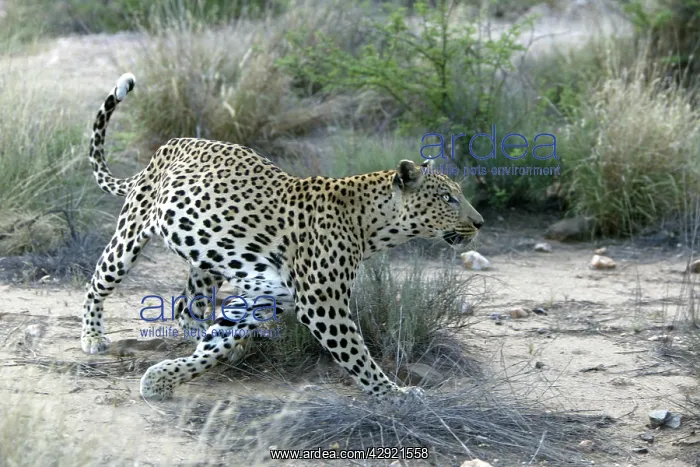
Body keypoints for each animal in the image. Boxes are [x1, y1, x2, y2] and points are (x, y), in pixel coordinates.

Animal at [81, 73, 484, 402]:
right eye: (448, 198)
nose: (479, 222)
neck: (370, 226)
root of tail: (168, 146)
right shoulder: (323, 305)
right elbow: (357, 354)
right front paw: (393, 393)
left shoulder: (261, 298)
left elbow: (216, 345)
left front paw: (162, 379)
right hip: (129, 236)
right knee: (97, 283)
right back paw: (92, 336)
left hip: (206, 262)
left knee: (185, 305)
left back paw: (200, 337)